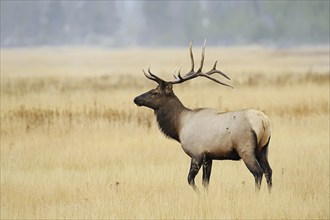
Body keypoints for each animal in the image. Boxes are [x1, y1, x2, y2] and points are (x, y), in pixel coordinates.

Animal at [133, 40, 272, 192]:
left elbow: (190, 179)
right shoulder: (209, 157)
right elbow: (206, 182)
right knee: (268, 171)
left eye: (155, 92)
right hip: (263, 149)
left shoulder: (196, 153)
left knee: (258, 172)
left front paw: (198, 194)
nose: (136, 99)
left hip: (245, 148)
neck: (179, 127)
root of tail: (263, 121)